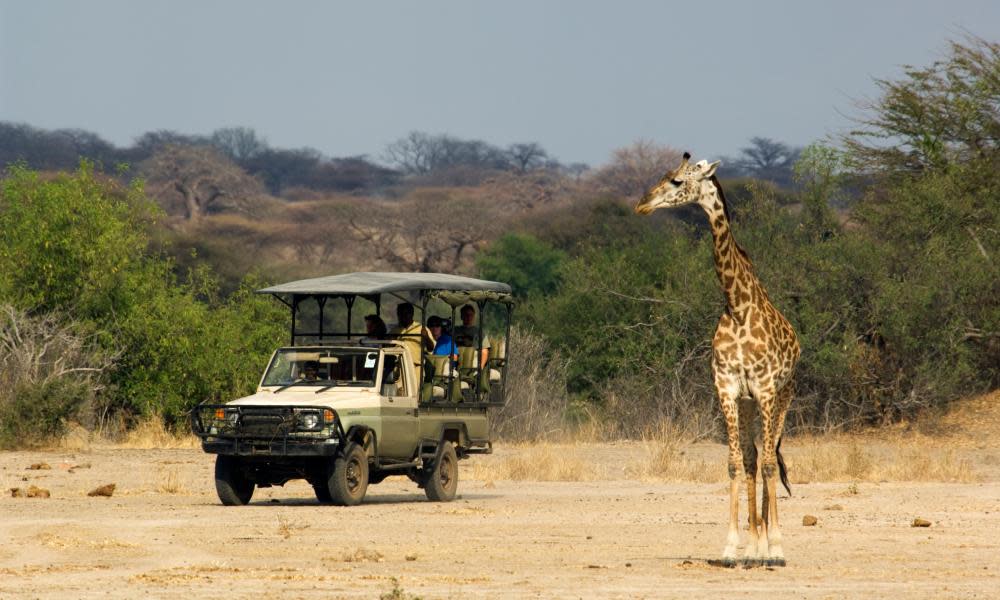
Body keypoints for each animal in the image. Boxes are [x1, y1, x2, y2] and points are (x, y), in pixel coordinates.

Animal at [636, 152, 800, 564]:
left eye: (677, 181)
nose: (642, 204)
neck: (737, 306)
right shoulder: (726, 388)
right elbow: (734, 464)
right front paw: (732, 547)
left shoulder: (765, 389)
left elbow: (770, 465)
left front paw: (776, 548)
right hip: (747, 404)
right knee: (753, 459)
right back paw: (754, 547)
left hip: (783, 397)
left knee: (769, 457)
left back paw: (768, 546)